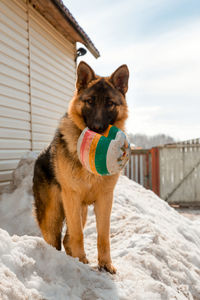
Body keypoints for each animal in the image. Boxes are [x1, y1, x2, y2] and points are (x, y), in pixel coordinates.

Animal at [32, 61, 129, 274]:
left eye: (110, 103)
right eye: (90, 101)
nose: (98, 128)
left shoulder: (105, 199)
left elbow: (103, 235)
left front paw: (105, 264)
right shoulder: (72, 197)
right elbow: (78, 234)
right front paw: (81, 261)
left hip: (81, 211)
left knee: (67, 239)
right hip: (53, 216)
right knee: (57, 240)